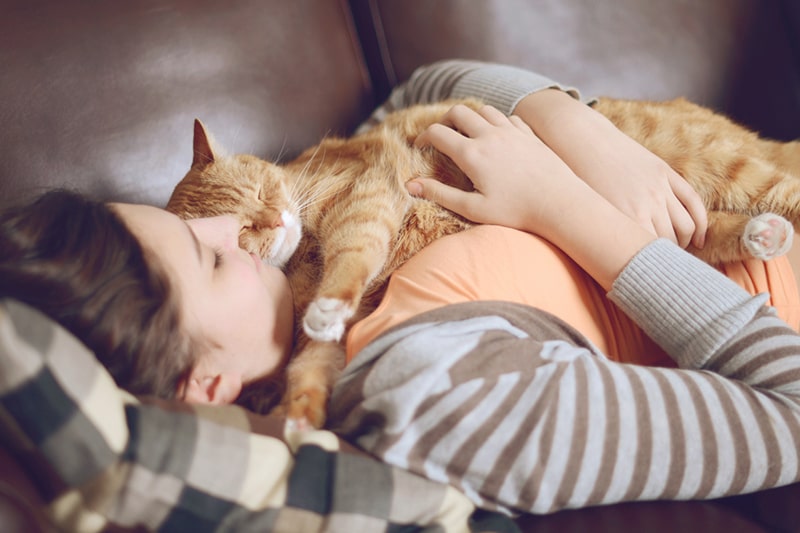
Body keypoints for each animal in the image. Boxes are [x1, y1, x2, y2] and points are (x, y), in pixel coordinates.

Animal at [166, 96, 796, 428]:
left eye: (260, 192)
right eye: (241, 234)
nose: (275, 221)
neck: (299, 261)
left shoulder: (366, 198)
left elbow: (352, 257)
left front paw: (326, 303)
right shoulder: (340, 329)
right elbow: (311, 366)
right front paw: (299, 422)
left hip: (734, 171)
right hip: (680, 226)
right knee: (697, 238)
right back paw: (761, 236)